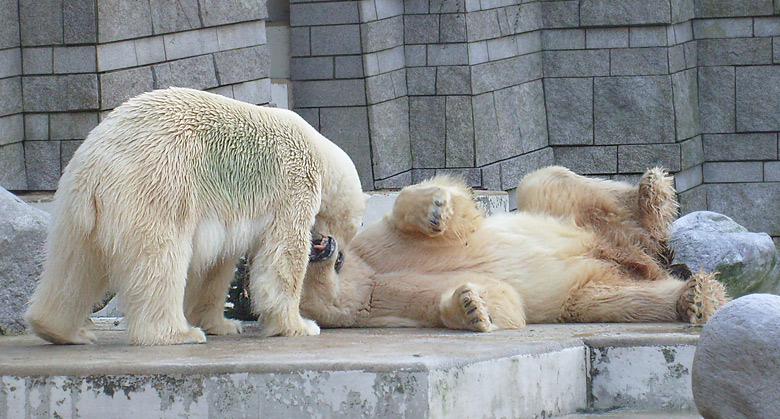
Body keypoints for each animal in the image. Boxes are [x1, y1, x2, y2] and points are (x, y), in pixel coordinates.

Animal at [25, 87, 366, 346]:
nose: (329, 246)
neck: (319, 153)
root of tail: (95, 164)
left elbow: (214, 268)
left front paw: (224, 324)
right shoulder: (292, 187)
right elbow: (282, 259)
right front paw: (299, 325)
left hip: (74, 207)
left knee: (73, 266)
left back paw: (60, 330)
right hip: (158, 186)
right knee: (159, 261)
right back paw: (177, 333)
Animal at [300, 167, 732, 332]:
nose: (319, 244)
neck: (360, 272)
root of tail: (631, 252)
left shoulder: (374, 247)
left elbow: (441, 213)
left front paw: (435, 208)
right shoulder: (380, 304)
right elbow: (501, 301)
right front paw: (470, 307)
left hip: (572, 218)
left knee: (542, 183)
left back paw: (651, 195)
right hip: (593, 283)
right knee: (619, 300)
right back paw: (694, 297)